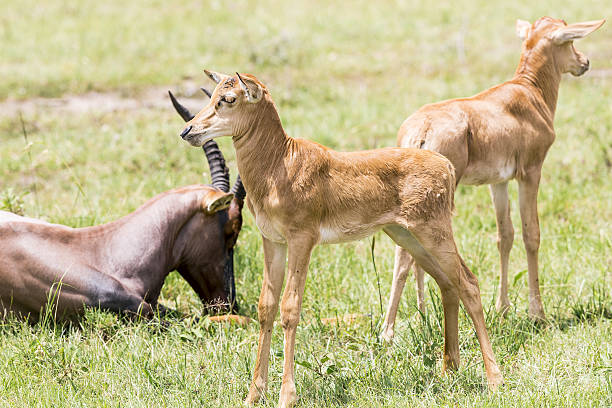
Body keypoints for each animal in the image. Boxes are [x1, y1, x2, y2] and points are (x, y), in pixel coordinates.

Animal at [177, 71, 502, 406]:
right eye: (214, 92)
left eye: (229, 98)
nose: (188, 130)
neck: (281, 162)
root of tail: (445, 166)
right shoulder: (273, 241)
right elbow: (266, 307)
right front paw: (254, 394)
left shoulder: (301, 240)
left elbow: (290, 308)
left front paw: (287, 395)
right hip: (408, 236)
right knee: (447, 283)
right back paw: (449, 368)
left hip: (434, 232)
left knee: (468, 282)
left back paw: (494, 379)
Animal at [380, 16, 604, 342]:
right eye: (569, 39)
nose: (584, 62)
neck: (527, 93)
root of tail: (422, 130)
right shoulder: (530, 173)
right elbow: (531, 234)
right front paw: (538, 314)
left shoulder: (498, 182)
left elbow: (504, 235)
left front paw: (503, 309)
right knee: (407, 255)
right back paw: (388, 332)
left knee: (409, 250)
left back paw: (419, 316)